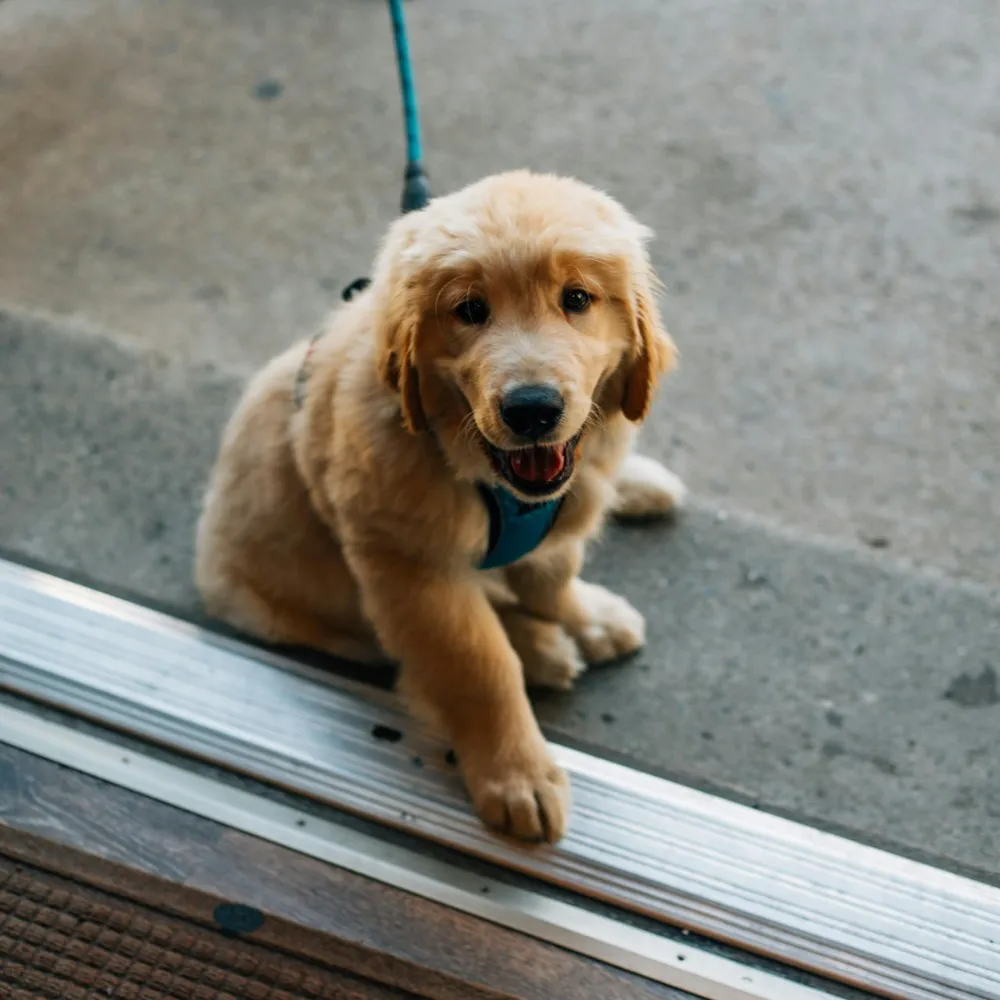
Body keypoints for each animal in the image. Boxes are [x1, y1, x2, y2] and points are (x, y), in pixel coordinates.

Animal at [200, 172, 692, 844]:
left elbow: (552, 576)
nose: (533, 409)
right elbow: (477, 663)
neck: (477, 467)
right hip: (313, 611)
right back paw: (541, 649)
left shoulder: (556, 513)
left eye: (577, 298)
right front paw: (517, 776)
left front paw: (587, 616)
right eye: (470, 310)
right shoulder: (410, 567)